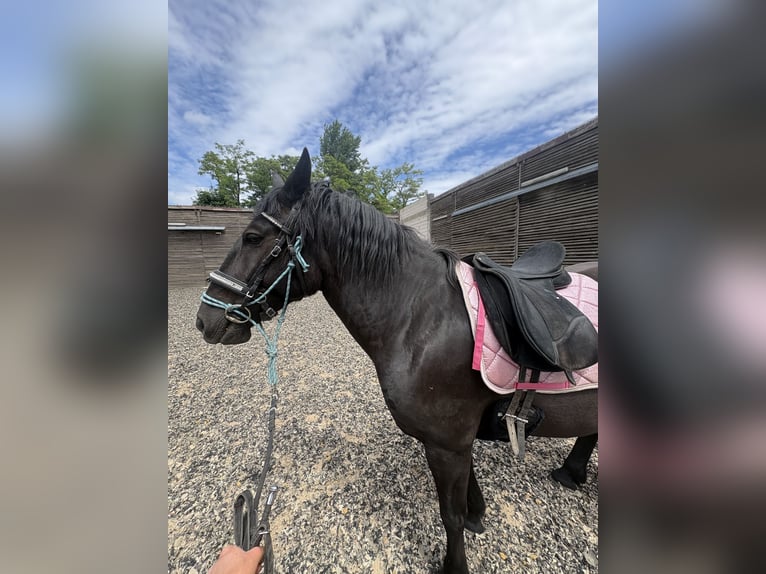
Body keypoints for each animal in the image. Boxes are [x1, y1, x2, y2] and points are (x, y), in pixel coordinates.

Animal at [196, 149, 598, 574]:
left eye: (253, 237)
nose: (204, 319)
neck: (420, 319)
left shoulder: (447, 443)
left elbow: (450, 515)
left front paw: (455, 563)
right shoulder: (456, 438)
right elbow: (467, 494)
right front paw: (478, 514)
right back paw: (571, 472)